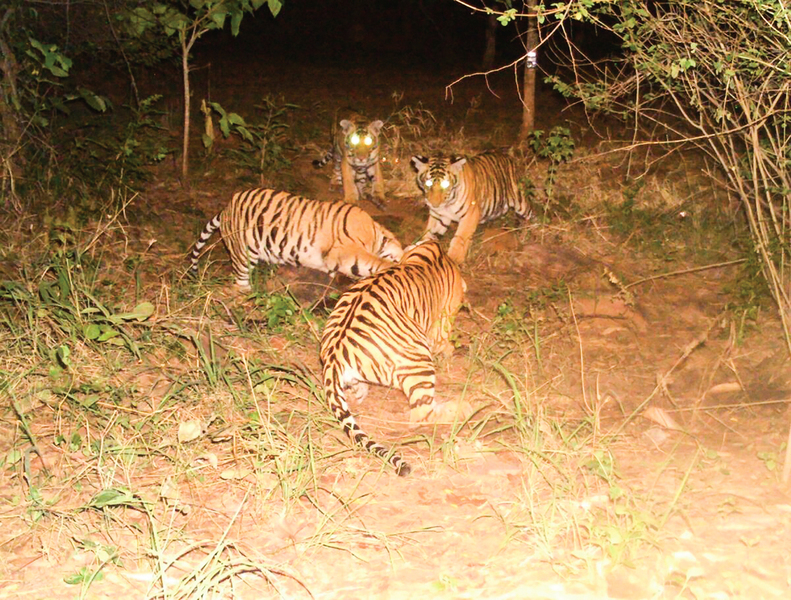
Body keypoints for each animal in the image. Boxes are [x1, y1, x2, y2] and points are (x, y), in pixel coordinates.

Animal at [189, 188, 406, 290]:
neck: (375, 233)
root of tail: (226, 208)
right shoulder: (346, 251)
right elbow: (374, 261)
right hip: (242, 253)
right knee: (240, 280)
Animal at [320, 240, 470, 478]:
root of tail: (335, 354)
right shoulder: (441, 324)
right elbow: (445, 342)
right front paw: (451, 352)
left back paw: (358, 393)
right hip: (419, 356)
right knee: (421, 414)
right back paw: (463, 408)